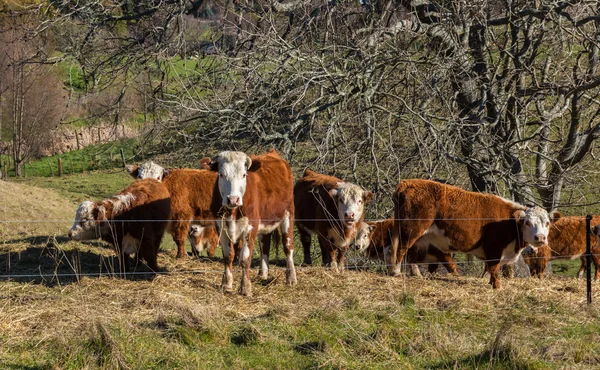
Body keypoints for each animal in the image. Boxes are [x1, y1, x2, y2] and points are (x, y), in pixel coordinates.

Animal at [202, 149, 296, 296]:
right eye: (221, 174)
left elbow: (245, 259)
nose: (233, 199)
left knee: (288, 246)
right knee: (265, 245)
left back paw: (291, 277)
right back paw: (263, 274)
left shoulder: (251, 227)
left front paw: (245, 287)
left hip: (288, 214)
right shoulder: (221, 227)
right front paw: (226, 284)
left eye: (244, 174)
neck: (233, 212)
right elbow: (228, 256)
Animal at [390, 179, 556, 290]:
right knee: (402, 250)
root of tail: (407, 182)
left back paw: (416, 273)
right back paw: (396, 271)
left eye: (547, 223)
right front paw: (497, 287)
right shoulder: (493, 248)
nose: (540, 238)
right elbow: (494, 268)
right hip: (411, 229)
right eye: (527, 223)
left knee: (410, 253)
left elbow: (490, 268)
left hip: (417, 235)